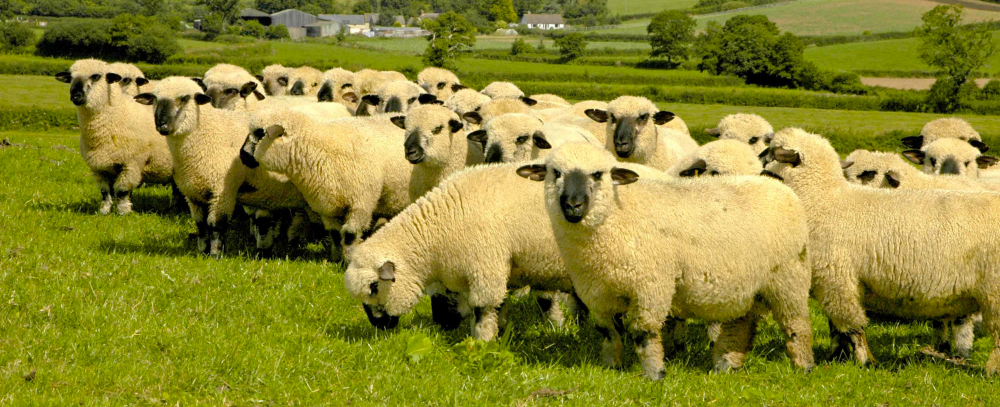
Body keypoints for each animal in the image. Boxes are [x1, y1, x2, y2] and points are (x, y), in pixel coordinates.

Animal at [55, 59, 175, 215]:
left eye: (96, 76)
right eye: (70, 78)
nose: (75, 95)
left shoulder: (131, 164)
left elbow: (122, 191)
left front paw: (124, 212)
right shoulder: (99, 167)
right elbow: (105, 192)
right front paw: (104, 211)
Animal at [134, 77, 307, 258]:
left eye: (185, 98)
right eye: (154, 99)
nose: (162, 125)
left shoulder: (222, 192)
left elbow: (216, 225)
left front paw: (216, 254)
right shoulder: (193, 194)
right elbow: (201, 224)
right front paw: (203, 251)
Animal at [241, 108, 415, 262]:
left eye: (260, 133)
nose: (242, 156)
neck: (318, 149)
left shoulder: (360, 203)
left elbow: (350, 235)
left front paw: (349, 260)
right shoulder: (327, 206)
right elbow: (335, 235)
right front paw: (337, 258)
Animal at [516, 142, 814, 379]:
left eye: (598, 174)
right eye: (556, 173)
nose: (573, 206)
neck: (617, 219)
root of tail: (780, 187)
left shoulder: (651, 286)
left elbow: (643, 333)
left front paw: (654, 374)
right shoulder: (596, 293)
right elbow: (608, 332)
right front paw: (612, 367)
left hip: (789, 278)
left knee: (796, 325)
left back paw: (804, 367)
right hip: (748, 286)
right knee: (741, 325)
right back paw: (726, 366)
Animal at [762, 127, 1000, 373]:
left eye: (771, 151)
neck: (822, 200)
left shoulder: (837, 280)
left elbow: (852, 327)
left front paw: (865, 361)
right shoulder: (834, 283)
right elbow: (836, 327)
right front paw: (837, 356)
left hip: (994, 290)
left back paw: (990, 370)